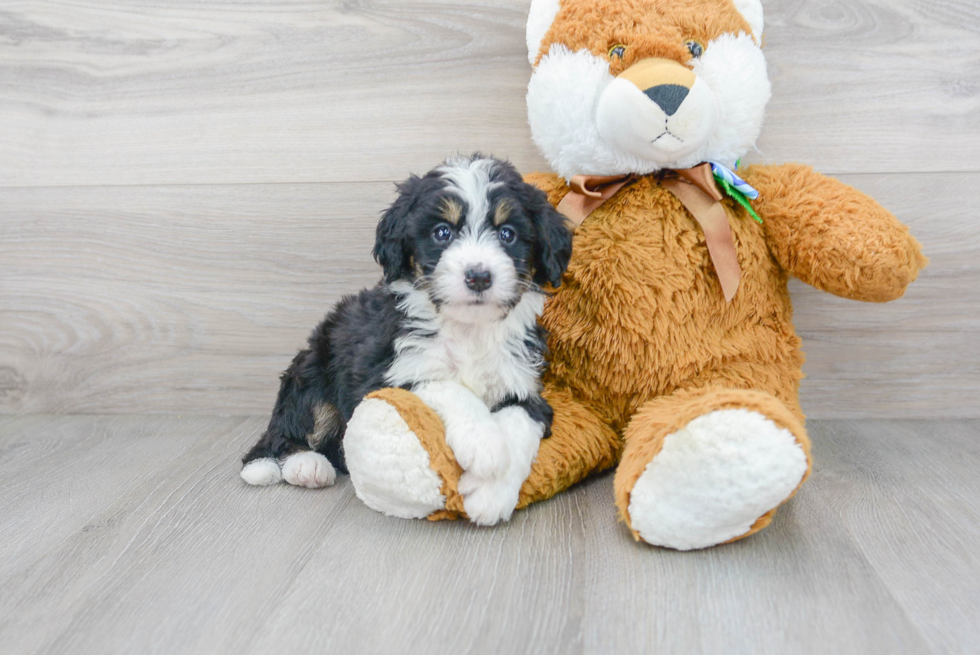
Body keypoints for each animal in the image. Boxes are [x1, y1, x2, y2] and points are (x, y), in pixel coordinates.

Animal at [240, 154, 572, 524]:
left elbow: (519, 423)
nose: (478, 276)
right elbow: (445, 385)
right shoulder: (388, 373)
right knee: (287, 431)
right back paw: (304, 465)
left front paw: (492, 493)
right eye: (442, 232)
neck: (468, 329)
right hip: (313, 369)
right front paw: (483, 441)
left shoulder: (523, 384)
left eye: (507, 234)